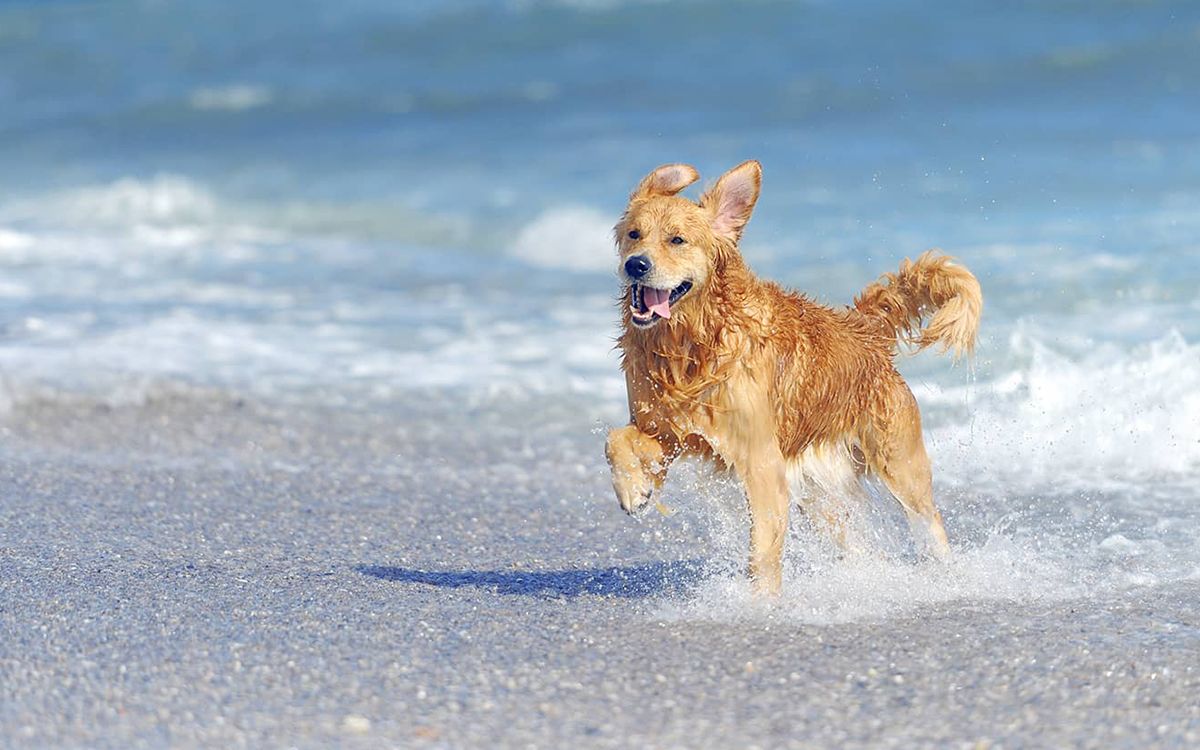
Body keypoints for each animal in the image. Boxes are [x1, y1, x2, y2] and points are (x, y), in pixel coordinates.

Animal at [604, 160, 979, 592]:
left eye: (677, 239)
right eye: (634, 234)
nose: (636, 264)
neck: (693, 344)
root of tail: (864, 330)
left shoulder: (761, 460)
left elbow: (763, 549)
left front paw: (760, 600)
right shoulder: (670, 433)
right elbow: (616, 439)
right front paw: (634, 490)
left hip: (899, 464)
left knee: (929, 520)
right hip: (820, 492)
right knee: (854, 541)